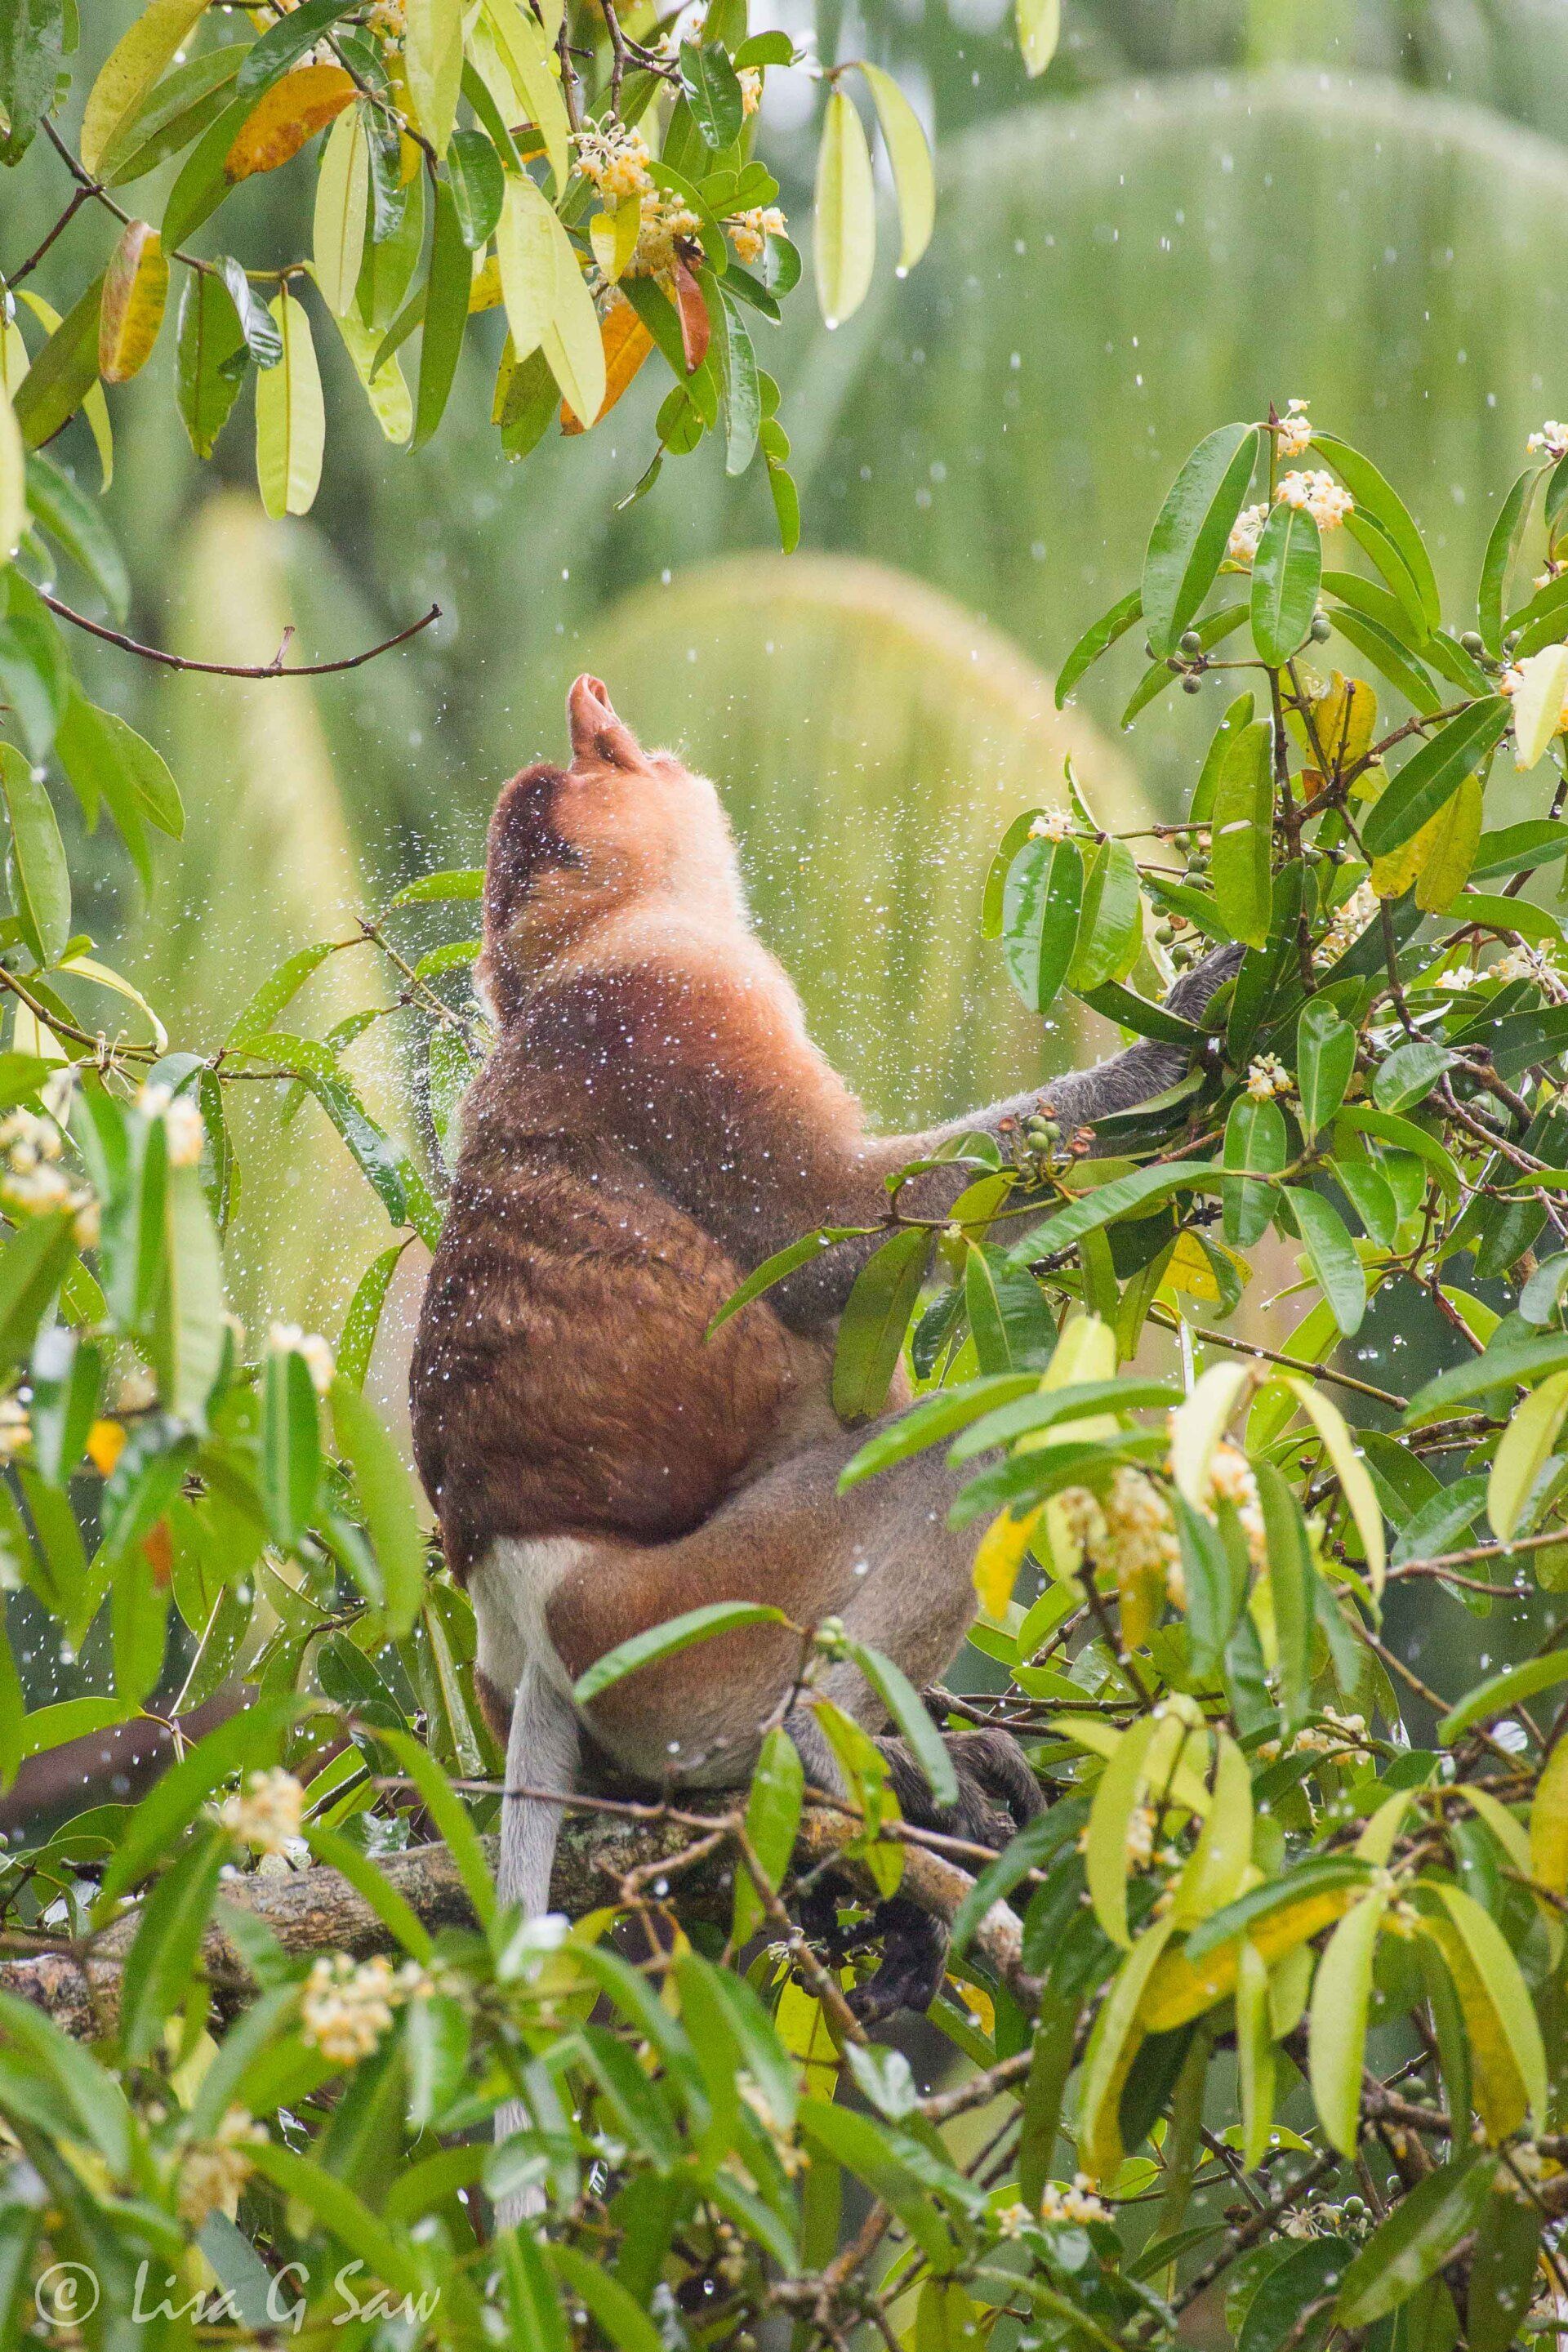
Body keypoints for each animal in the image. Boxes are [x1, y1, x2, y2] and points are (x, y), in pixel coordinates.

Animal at [409, 675, 1241, 2028]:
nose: (594, 705)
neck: (576, 956)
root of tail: (521, 1608)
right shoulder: (677, 1015)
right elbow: (841, 1228)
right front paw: (1180, 1041)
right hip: (687, 1625)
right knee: (953, 1455)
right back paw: (850, 1765)